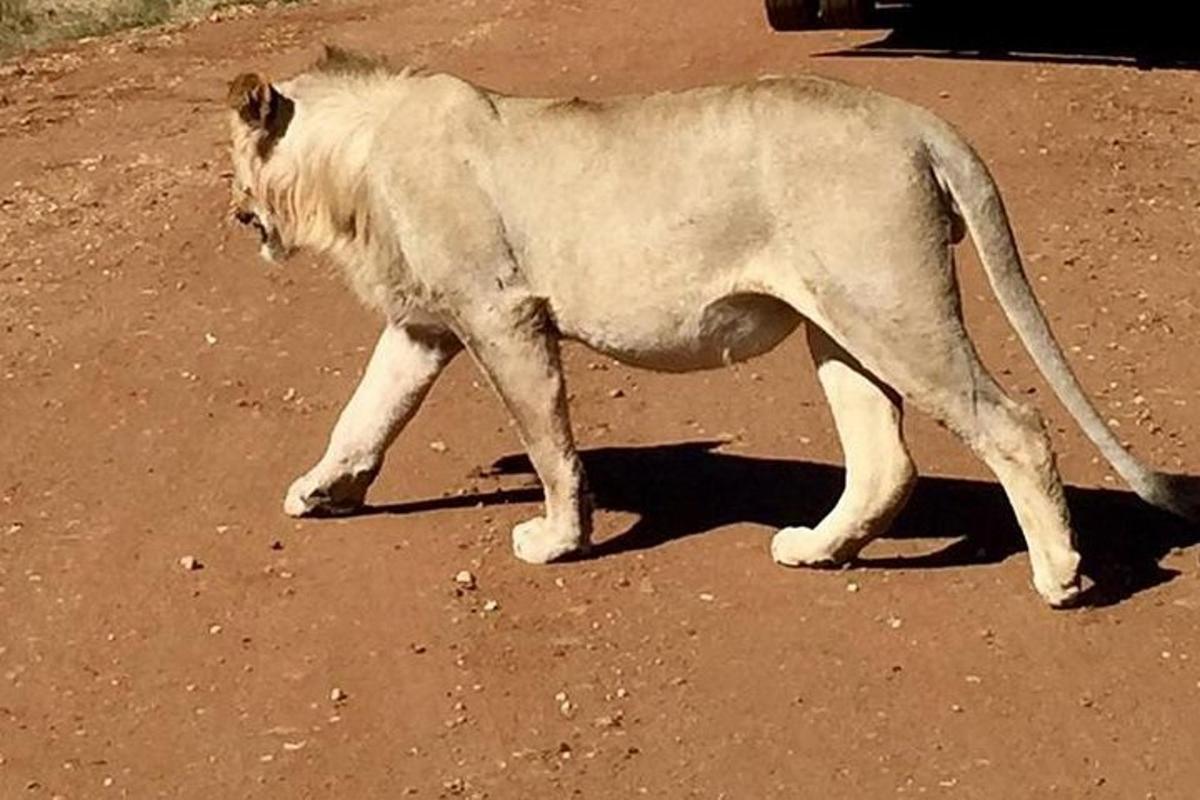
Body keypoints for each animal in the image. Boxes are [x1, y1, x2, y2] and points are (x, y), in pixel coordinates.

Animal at [225, 47, 1200, 606]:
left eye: (231, 156)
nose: (233, 213)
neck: (355, 160)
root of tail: (919, 120)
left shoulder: (500, 310)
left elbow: (547, 443)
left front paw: (557, 540)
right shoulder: (424, 323)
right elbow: (365, 412)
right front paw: (322, 492)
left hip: (891, 304)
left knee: (1016, 424)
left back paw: (1060, 575)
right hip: (837, 321)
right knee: (886, 460)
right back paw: (815, 550)